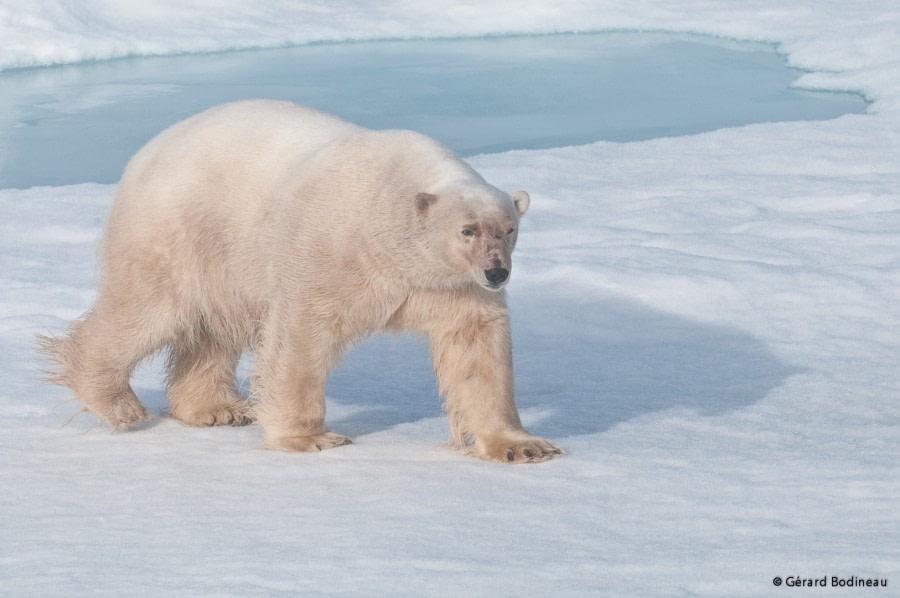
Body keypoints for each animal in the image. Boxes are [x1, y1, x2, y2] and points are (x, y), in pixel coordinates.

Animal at [44, 99, 564, 464]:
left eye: (509, 228)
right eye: (467, 229)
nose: (497, 271)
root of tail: (148, 150)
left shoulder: (449, 286)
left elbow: (476, 348)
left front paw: (522, 446)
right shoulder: (332, 251)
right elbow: (300, 332)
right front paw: (311, 439)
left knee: (215, 328)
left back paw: (218, 408)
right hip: (180, 230)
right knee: (147, 310)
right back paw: (118, 404)